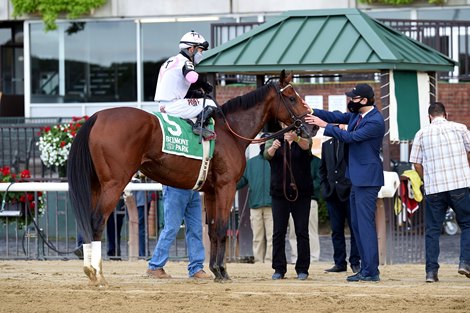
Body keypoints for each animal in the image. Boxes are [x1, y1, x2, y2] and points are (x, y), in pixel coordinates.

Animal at [68, 70, 318, 286]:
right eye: (292, 97)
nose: (312, 127)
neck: (229, 131)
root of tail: (97, 116)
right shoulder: (226, 186)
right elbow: (221, 229)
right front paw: (222, 272)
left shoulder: (211, 191)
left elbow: (212, 230)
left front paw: (215, 270)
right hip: (114, 184)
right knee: (96, 222)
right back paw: (97, 274)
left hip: (95, 185)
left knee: (88, 222)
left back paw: (90, 270)